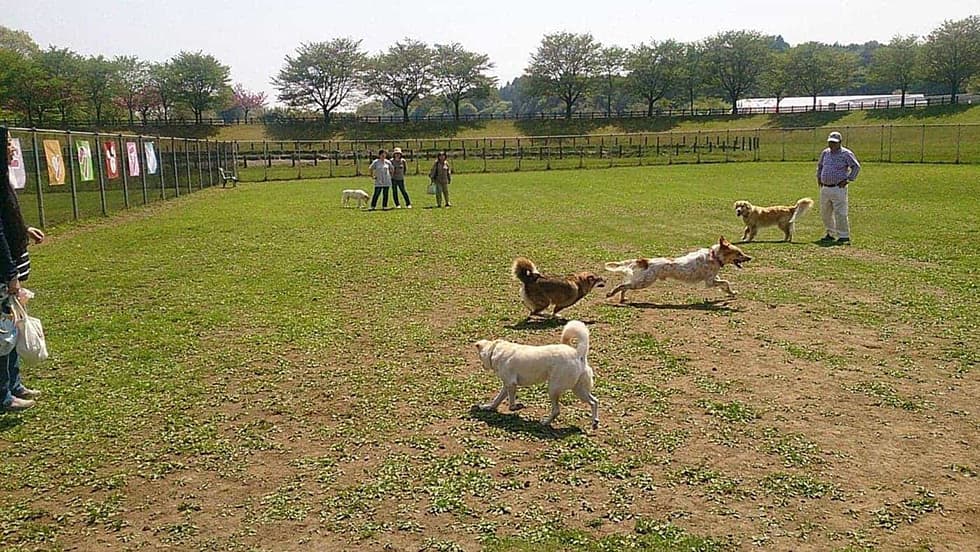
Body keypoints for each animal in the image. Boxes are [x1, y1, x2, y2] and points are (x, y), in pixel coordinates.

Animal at [604, 236, 752, 304]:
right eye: (739, 253)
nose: (750, 258)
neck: (714, 256)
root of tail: (645, 261)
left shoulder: (714, 278)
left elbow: (725, 284)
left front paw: (731, 293)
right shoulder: (709, 282)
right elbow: (726, 282)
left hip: (641, 281)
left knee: (625, 286)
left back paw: (622, 298)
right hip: (644, 282)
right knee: (622, 285)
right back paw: (611, 294)